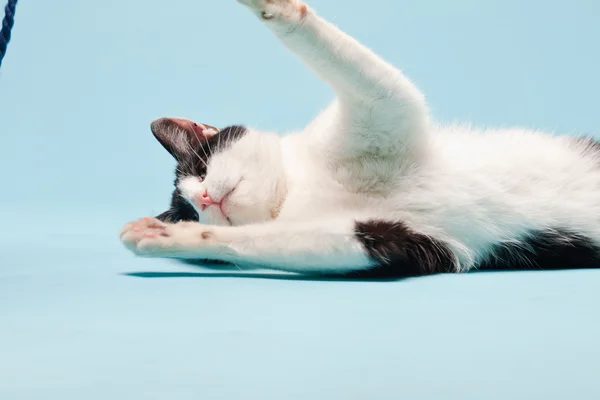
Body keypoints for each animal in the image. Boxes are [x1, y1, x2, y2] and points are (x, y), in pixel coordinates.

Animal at [118, 0, 600, 278]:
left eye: (201, 167)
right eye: (187, 212)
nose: (202, 198)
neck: (301, 186)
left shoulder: (387, 104)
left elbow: (341, 57)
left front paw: (270, 4)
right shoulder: (391, 239)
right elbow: (272, 241)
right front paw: (161, 237)